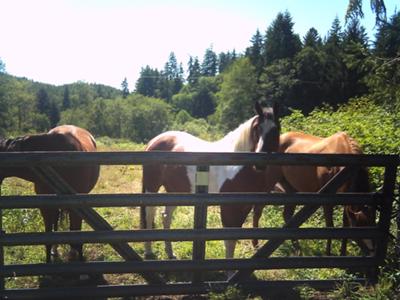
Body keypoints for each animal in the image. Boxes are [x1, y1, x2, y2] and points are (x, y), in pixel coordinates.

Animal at [0, 125, 99, 262]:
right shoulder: (46, 206)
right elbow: (48, 236)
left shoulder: (79, 205)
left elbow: (77, 235)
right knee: (56, 222)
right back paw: (56, 251)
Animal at [142, 102, 280, 258]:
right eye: (257, 128)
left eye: (276, 130)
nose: (260, 163)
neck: (235, 164)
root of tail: (153, 141)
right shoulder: (228, 209)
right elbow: (229, 241)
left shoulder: (244, 207)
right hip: (152, 187)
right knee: (149, 214)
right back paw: (148, 252)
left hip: (175, 191)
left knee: (165, 216)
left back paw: (171, 254)